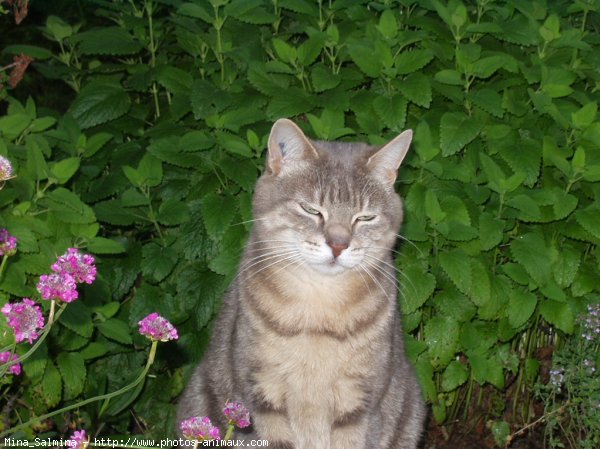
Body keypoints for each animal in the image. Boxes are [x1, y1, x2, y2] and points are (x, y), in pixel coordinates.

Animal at [178, 119, 426, 448]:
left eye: (365, 218)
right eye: (311, 210)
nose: (338, 245)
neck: (318, 313)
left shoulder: (360, 402)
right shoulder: (259, 396)